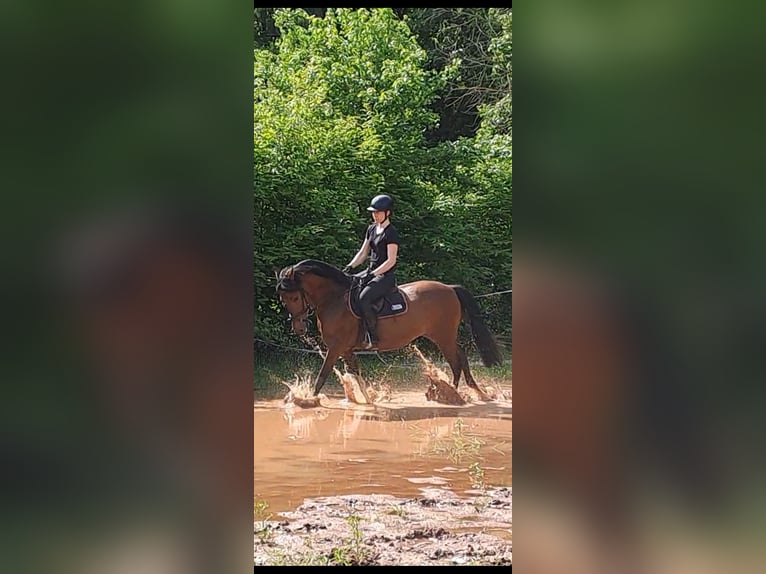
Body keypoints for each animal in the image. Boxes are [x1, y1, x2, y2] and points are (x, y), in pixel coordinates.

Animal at [276, 260, 504, 398]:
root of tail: (449, 288)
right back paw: (472, 391)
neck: (334, 299)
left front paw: (309, 400)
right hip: (444, 336)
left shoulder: (336, 348)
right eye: (283, 298)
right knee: (461, 356)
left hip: (443, 336)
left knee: (455, 362)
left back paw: (449, 396)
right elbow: (357, 375)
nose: (299, 328)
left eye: (294, 297)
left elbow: (322, 376)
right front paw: (366, 400)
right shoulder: (347, 349)